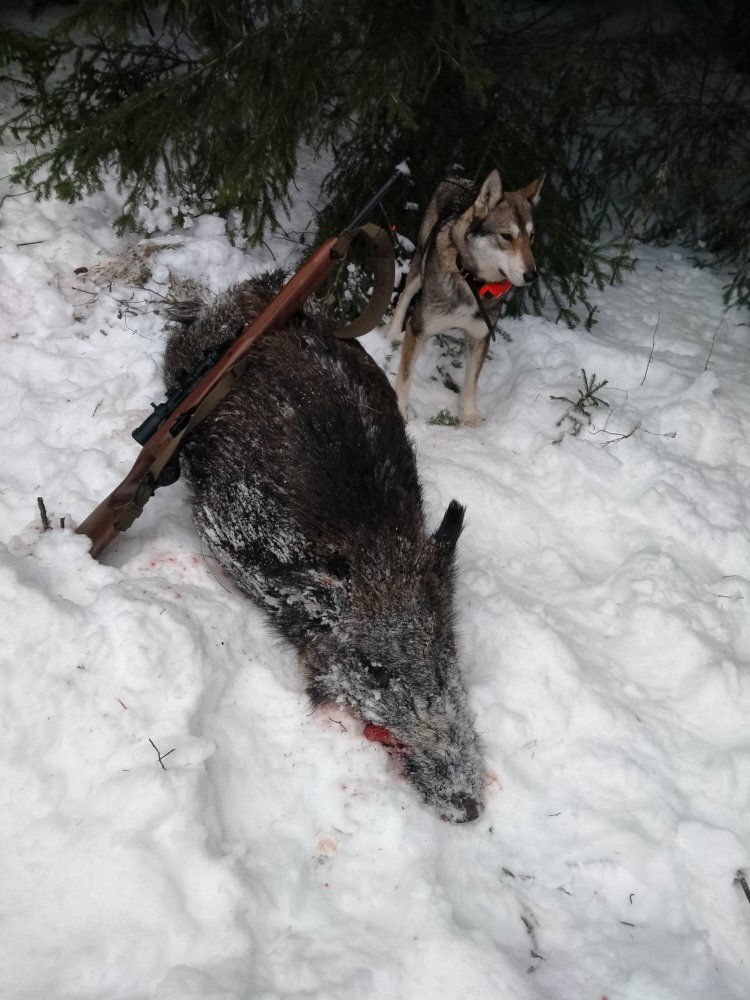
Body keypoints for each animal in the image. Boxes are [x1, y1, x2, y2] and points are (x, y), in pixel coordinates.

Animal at [162, 272, 484, 822]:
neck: (375, 546)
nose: (469, 807)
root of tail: (252, 289)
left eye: (444, 650)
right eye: (375, 669)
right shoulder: (225, 528)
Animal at [390, 169, 544, 425]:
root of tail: (457, 178)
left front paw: (469, 415)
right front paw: (400, 410)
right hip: (418, 266)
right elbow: (404, 377)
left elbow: (471, 381)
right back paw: (391, 335)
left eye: (531, 237)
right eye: (506, 236)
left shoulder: (480, 337)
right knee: (404, 296)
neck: (471, 281)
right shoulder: (419, 327)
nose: (532, 275)